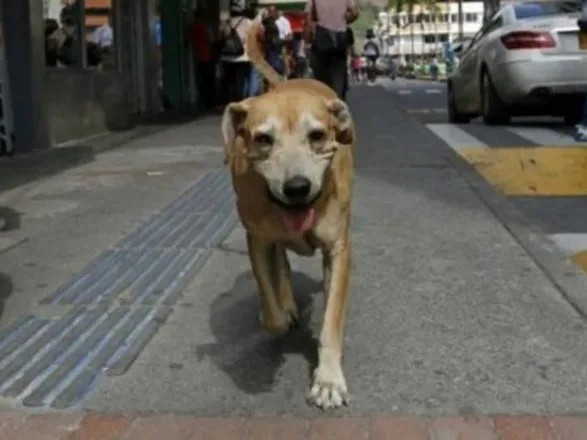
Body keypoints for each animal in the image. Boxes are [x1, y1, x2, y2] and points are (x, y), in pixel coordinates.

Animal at [222, 23, 356, 410]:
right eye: (263, 139)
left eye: (317, 135)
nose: (297, 187)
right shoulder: (256, 238)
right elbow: (271, 304)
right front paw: (280, 312)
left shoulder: (338, 249)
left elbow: (331, 318)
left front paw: (328, 380)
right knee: (280, 263)